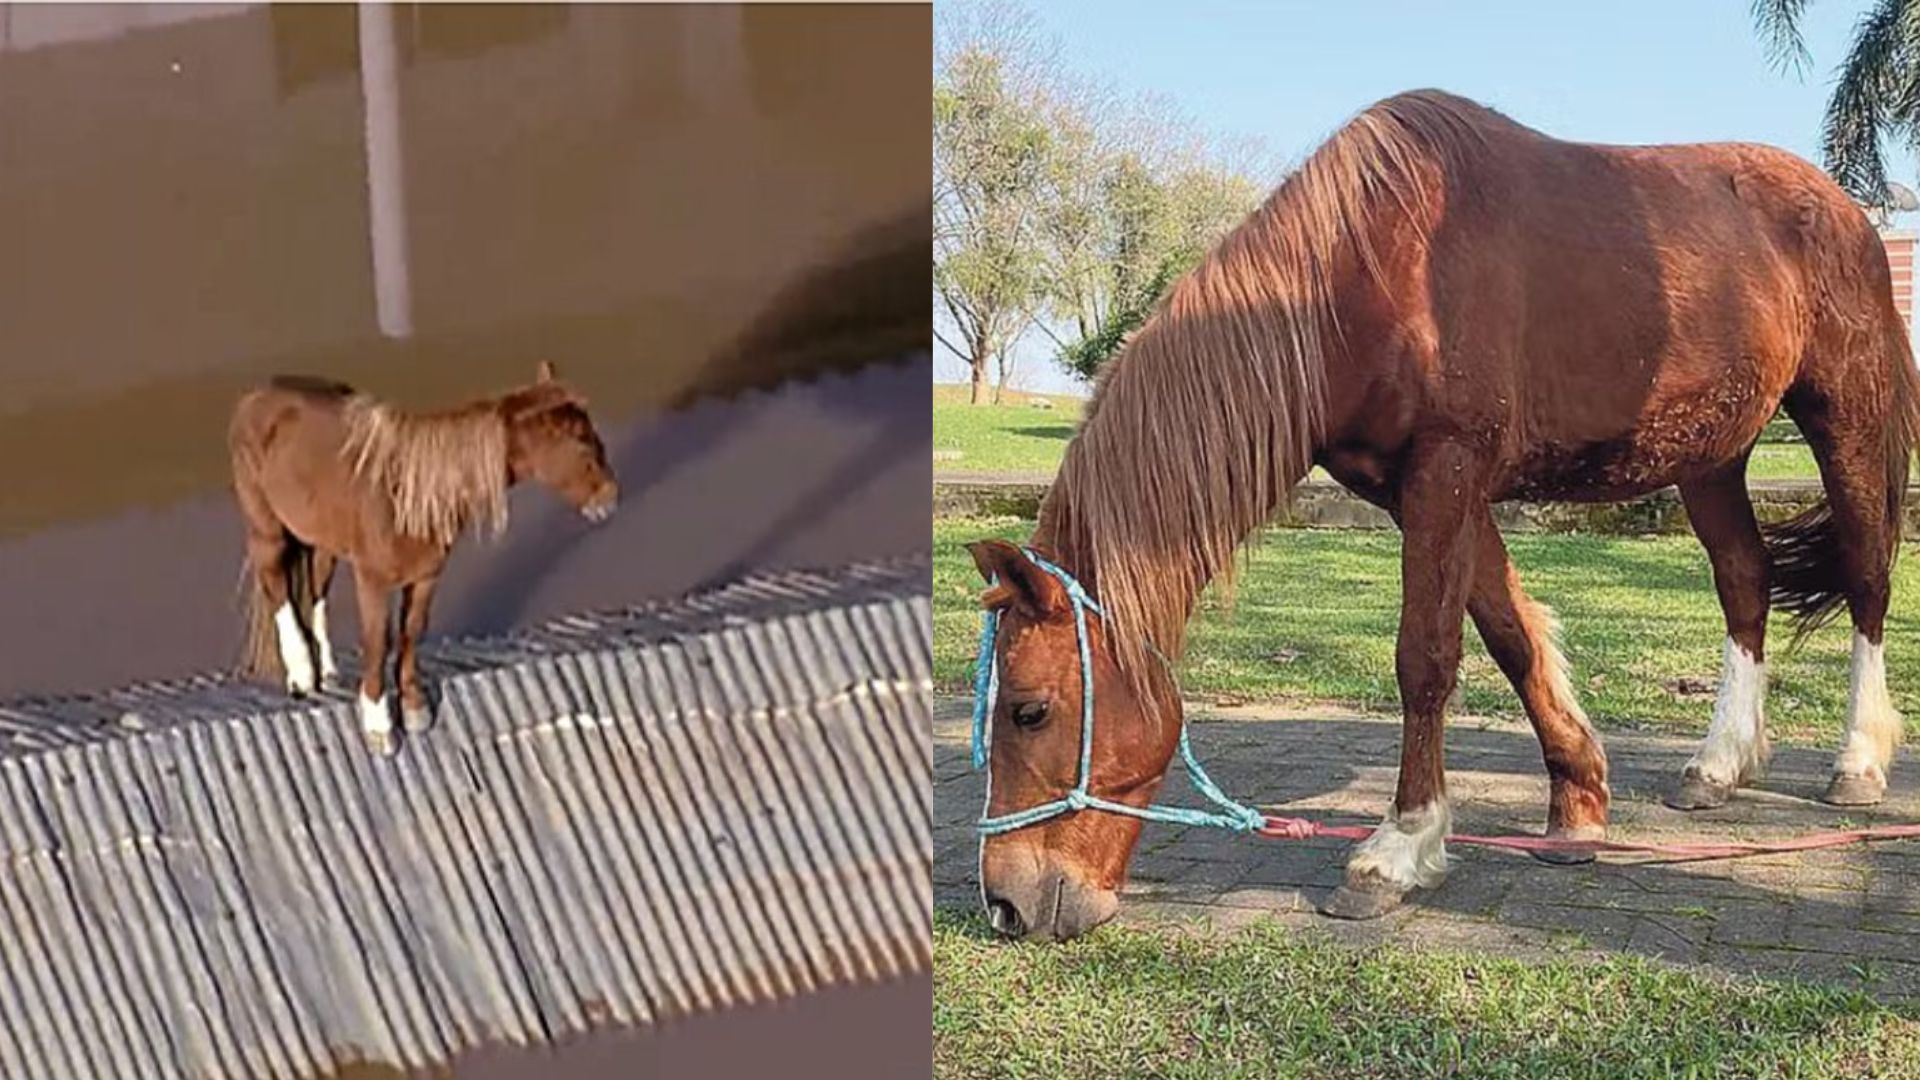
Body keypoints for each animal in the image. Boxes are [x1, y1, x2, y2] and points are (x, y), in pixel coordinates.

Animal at [230, 361, 619, 755]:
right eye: (582, 442)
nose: (610, 498)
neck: (407, 494)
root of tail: (259, 394)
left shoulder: (426, 576)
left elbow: (411, 632)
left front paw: (414, 708)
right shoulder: (372, 579)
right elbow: (377, 640)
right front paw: (379, 725)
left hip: (323, 540)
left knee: (315, 590)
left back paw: (325, 668)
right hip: (267, 529)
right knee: (277, 586)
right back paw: (301, 674)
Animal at [966, 89, 1920, 940]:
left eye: (1029, 711)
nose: (1008, 904)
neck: (1367, 273)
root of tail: (1844, 207)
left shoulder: (1447, 473)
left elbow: (1425, 658)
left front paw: (1396, 851)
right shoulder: (1427, 491)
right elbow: (1511, 637)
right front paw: (1577, 807)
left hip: (1848, 418)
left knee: (1867, 579)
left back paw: (1859, 762)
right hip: (1711, 457)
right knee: (1744, 582)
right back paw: (1719, 766)